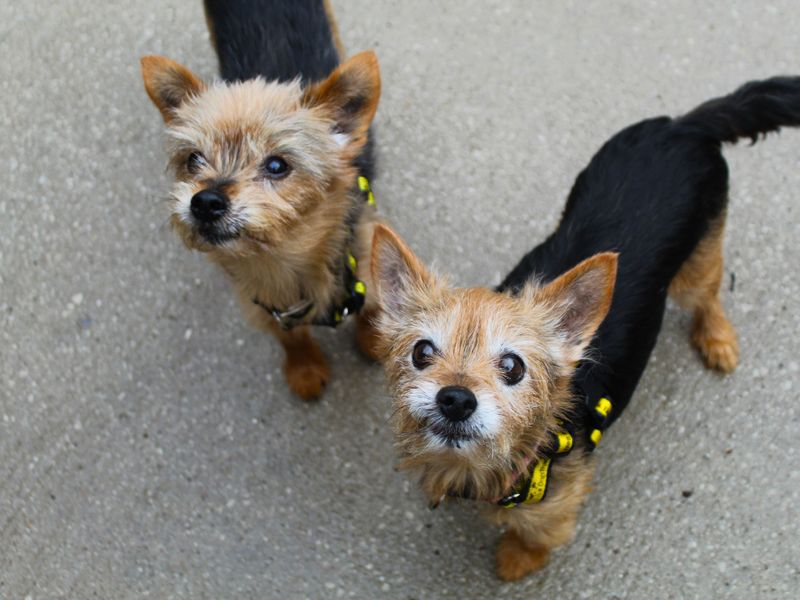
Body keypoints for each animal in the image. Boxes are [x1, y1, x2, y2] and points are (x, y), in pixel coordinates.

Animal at [140, 1, 382, 404]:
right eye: (193, 159)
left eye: (277, 165)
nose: (205, 202)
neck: (284, 262)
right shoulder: (267, 307)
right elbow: (291, 338)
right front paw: (304, 368)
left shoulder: (366, 258)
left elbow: (372, 309)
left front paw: (373, 340)